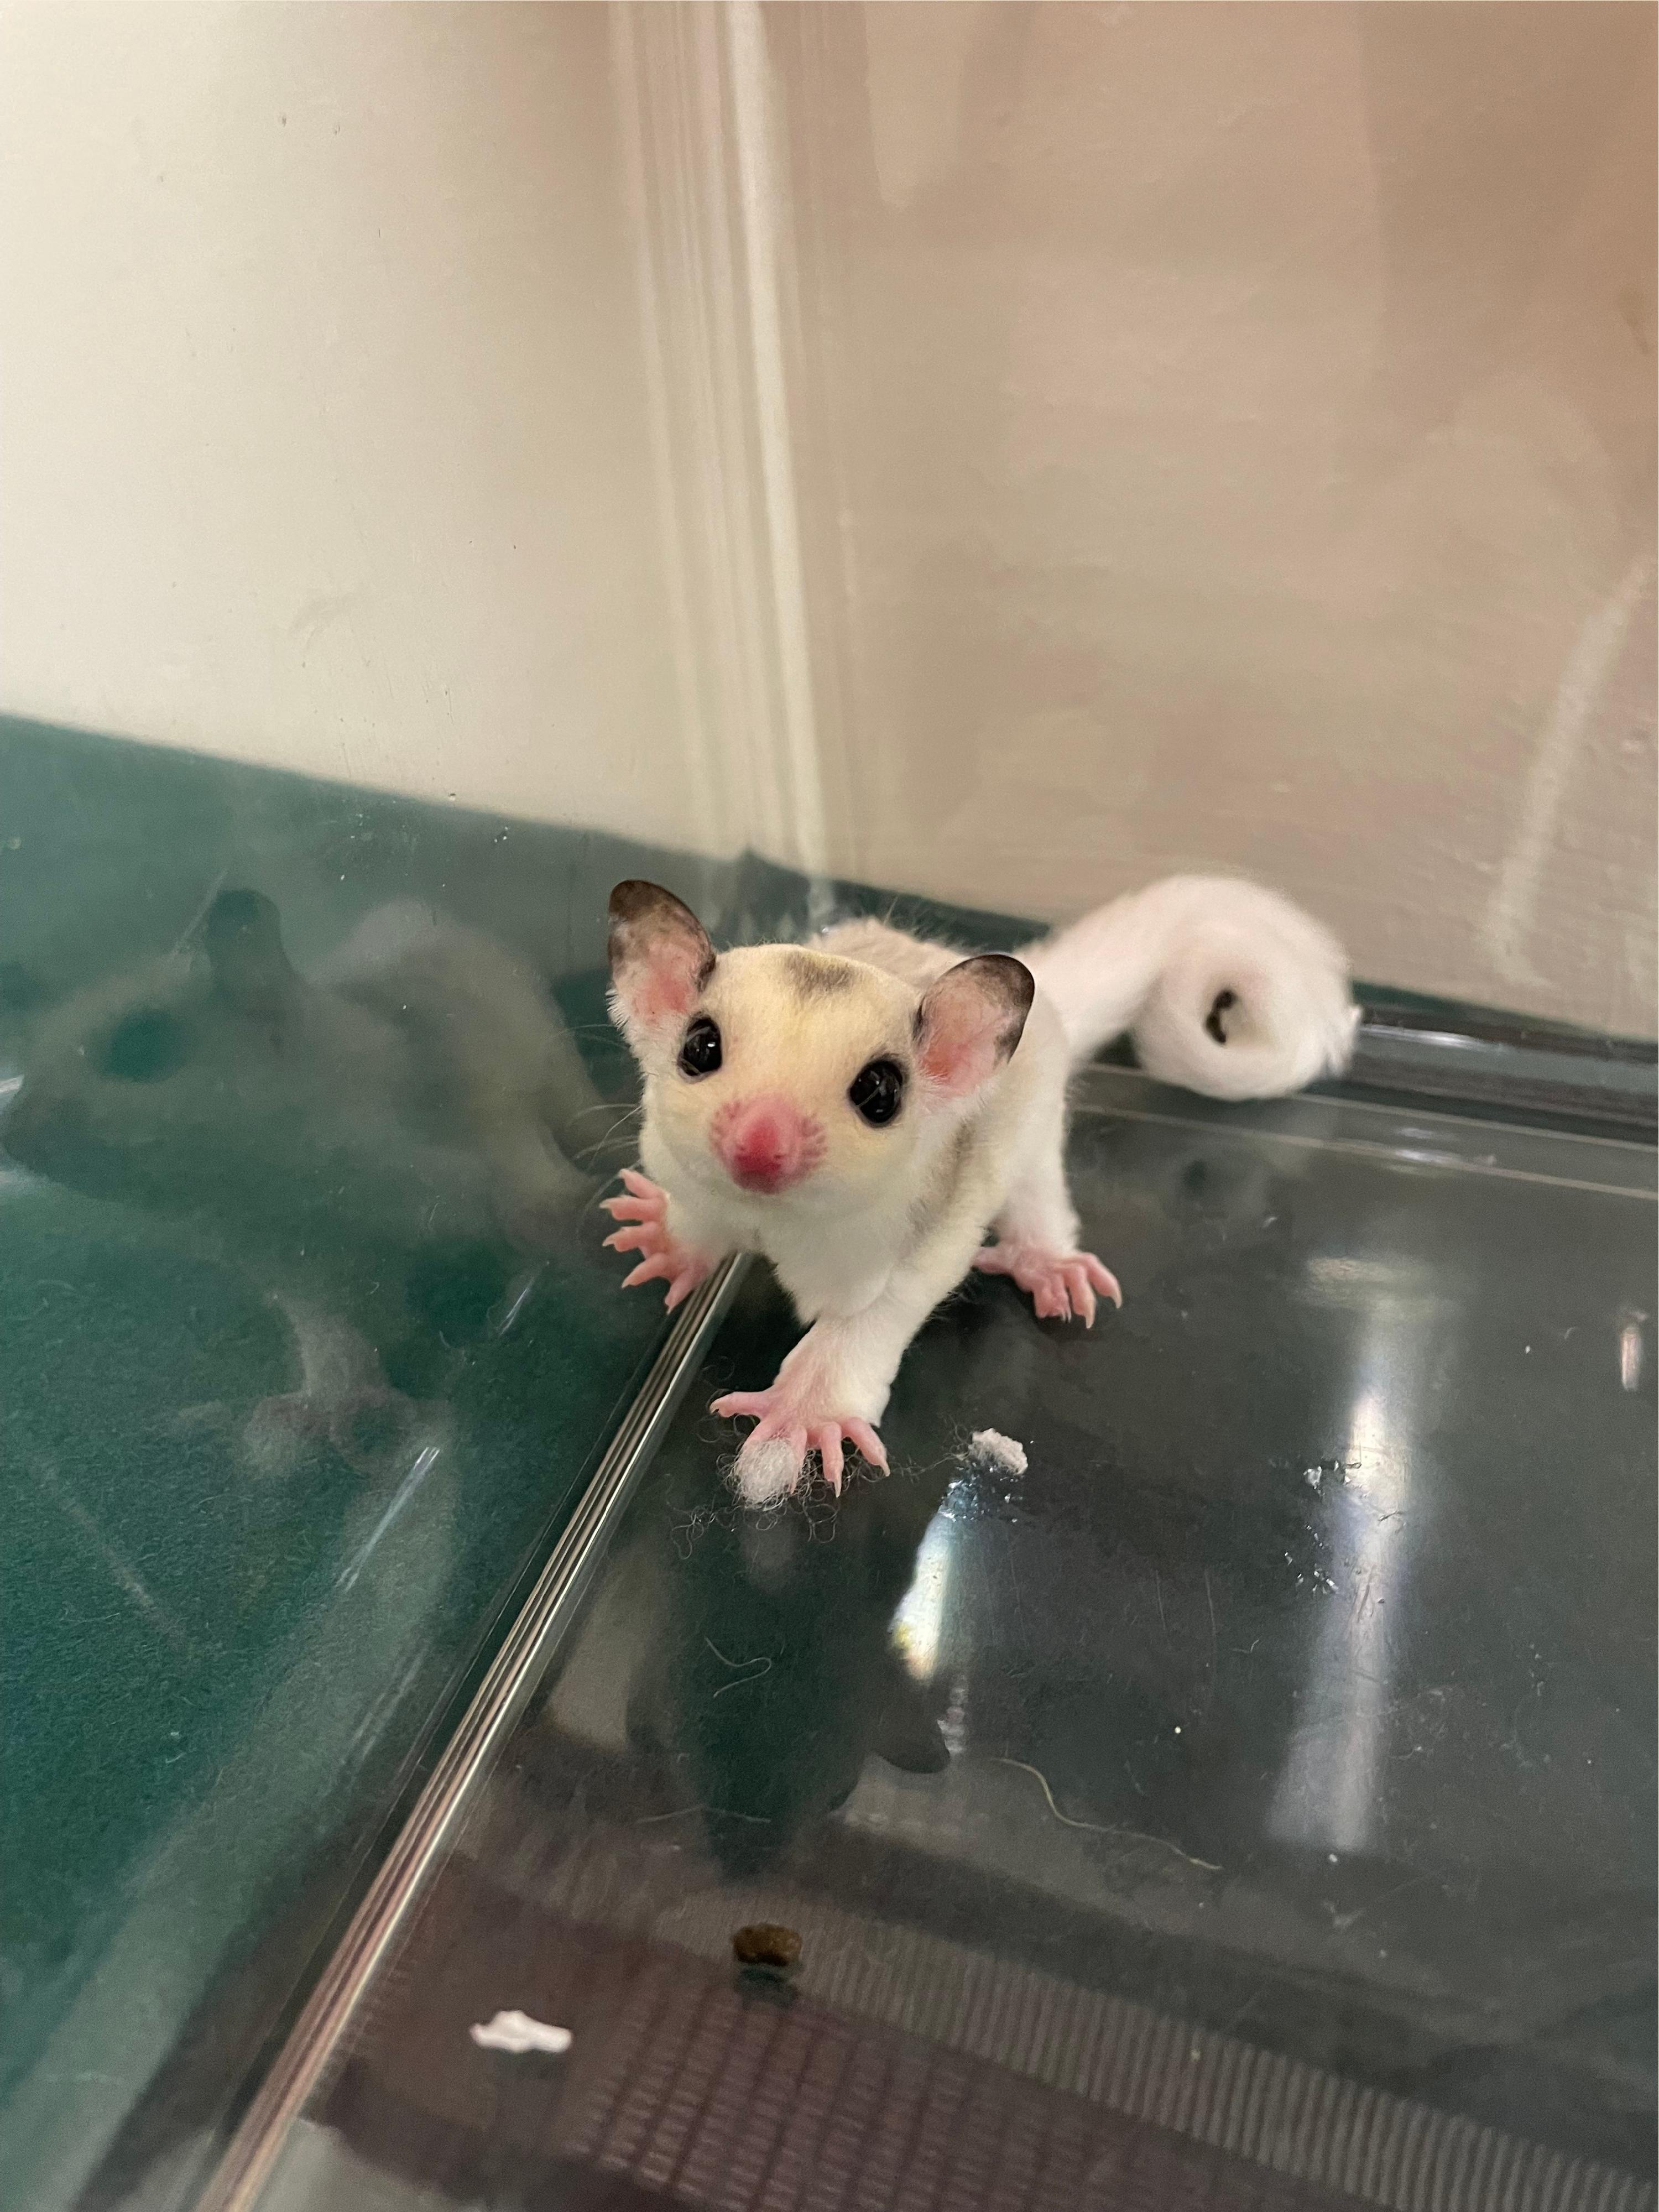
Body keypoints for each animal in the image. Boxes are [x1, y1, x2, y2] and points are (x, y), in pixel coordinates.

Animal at [603, 874, 1357, 1508]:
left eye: (880, 1093)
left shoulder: (926, 1234)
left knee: (1038, 1193)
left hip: (1038, 1127)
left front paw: (801, 1415)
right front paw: (667, 1243)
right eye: (700, 1048)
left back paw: (1048, 1264)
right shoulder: (685, 1173)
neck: (773, 1215)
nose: (758, 1146)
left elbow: (876, 1314)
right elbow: (696, 1218)